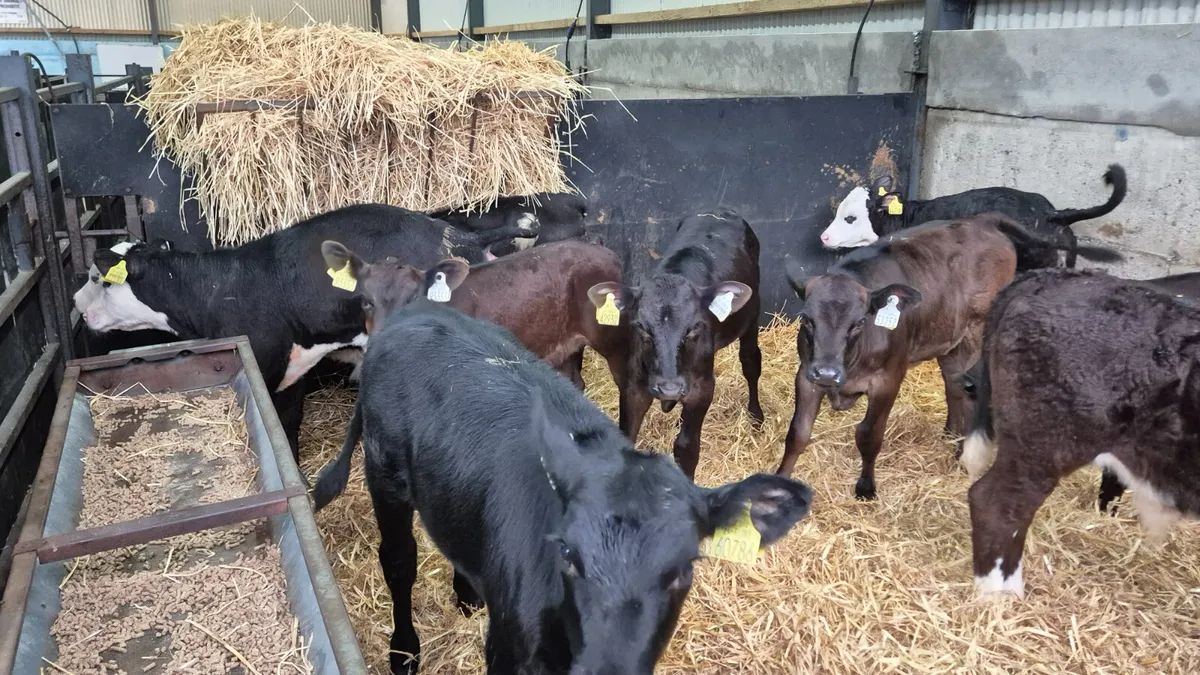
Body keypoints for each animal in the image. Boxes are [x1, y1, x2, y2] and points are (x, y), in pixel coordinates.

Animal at [72, 203, 535, 457]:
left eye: (100, 279)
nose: (76, 304)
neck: (222, 287)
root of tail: (460, 236)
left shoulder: (259, 363)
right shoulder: (292, 371)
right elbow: (286, 428)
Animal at [309, 299, 813, 674]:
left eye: (683, 571)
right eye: (568, 555)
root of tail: (408, 314)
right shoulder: (507, 652)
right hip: (385, 472)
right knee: (398, 561)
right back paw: (405, 652)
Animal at [585, 210, 762, 480]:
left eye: (694, 328)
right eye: (641, 327)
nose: (669, 388)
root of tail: (721, 212)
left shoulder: (702, 387)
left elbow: (686, 447)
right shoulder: (635, 383)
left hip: (753, 315)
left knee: (751, 361)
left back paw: (756, 414)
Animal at [777, 214, 1122, 500]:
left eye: (859, 322)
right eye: (807, 319)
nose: (828, 373)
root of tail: (983, 221)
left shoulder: (888, 380)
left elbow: (868, 435)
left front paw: (866, 488)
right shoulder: (805, 375)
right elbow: (798, 433)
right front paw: (781, 480)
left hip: (977, 333)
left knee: (975, 390)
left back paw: (966, 450)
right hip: (951, 342)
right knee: (955, 386)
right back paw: (952, 437)